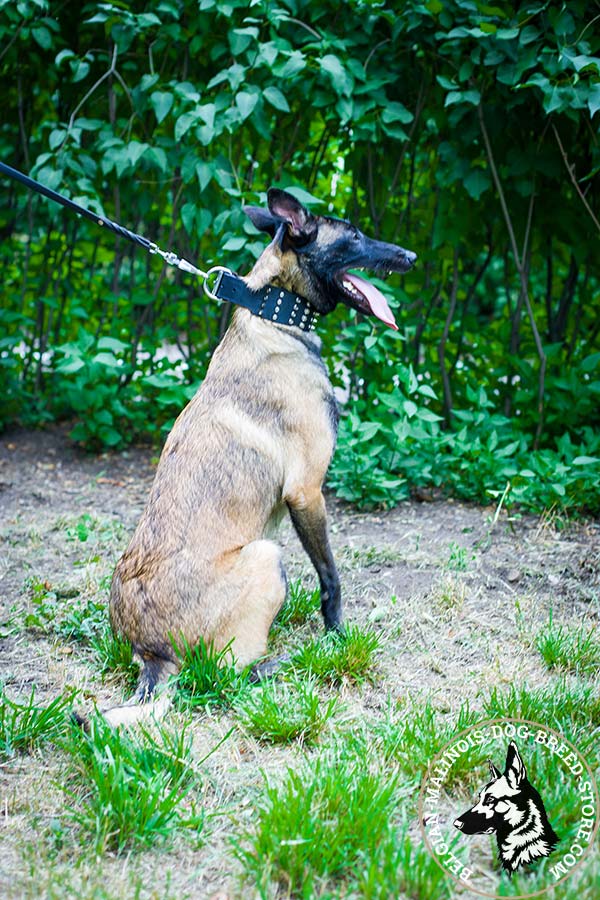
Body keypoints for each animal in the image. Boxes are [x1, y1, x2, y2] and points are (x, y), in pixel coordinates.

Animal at [99, 188, 418, 724]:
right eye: (353, 236)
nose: (411, 256)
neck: (276, 315)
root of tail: (151, 655)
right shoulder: (307, 491)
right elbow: (331, 578)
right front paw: (337, 637)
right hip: (267, 557)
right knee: (222, 674)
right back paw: (275, 665)